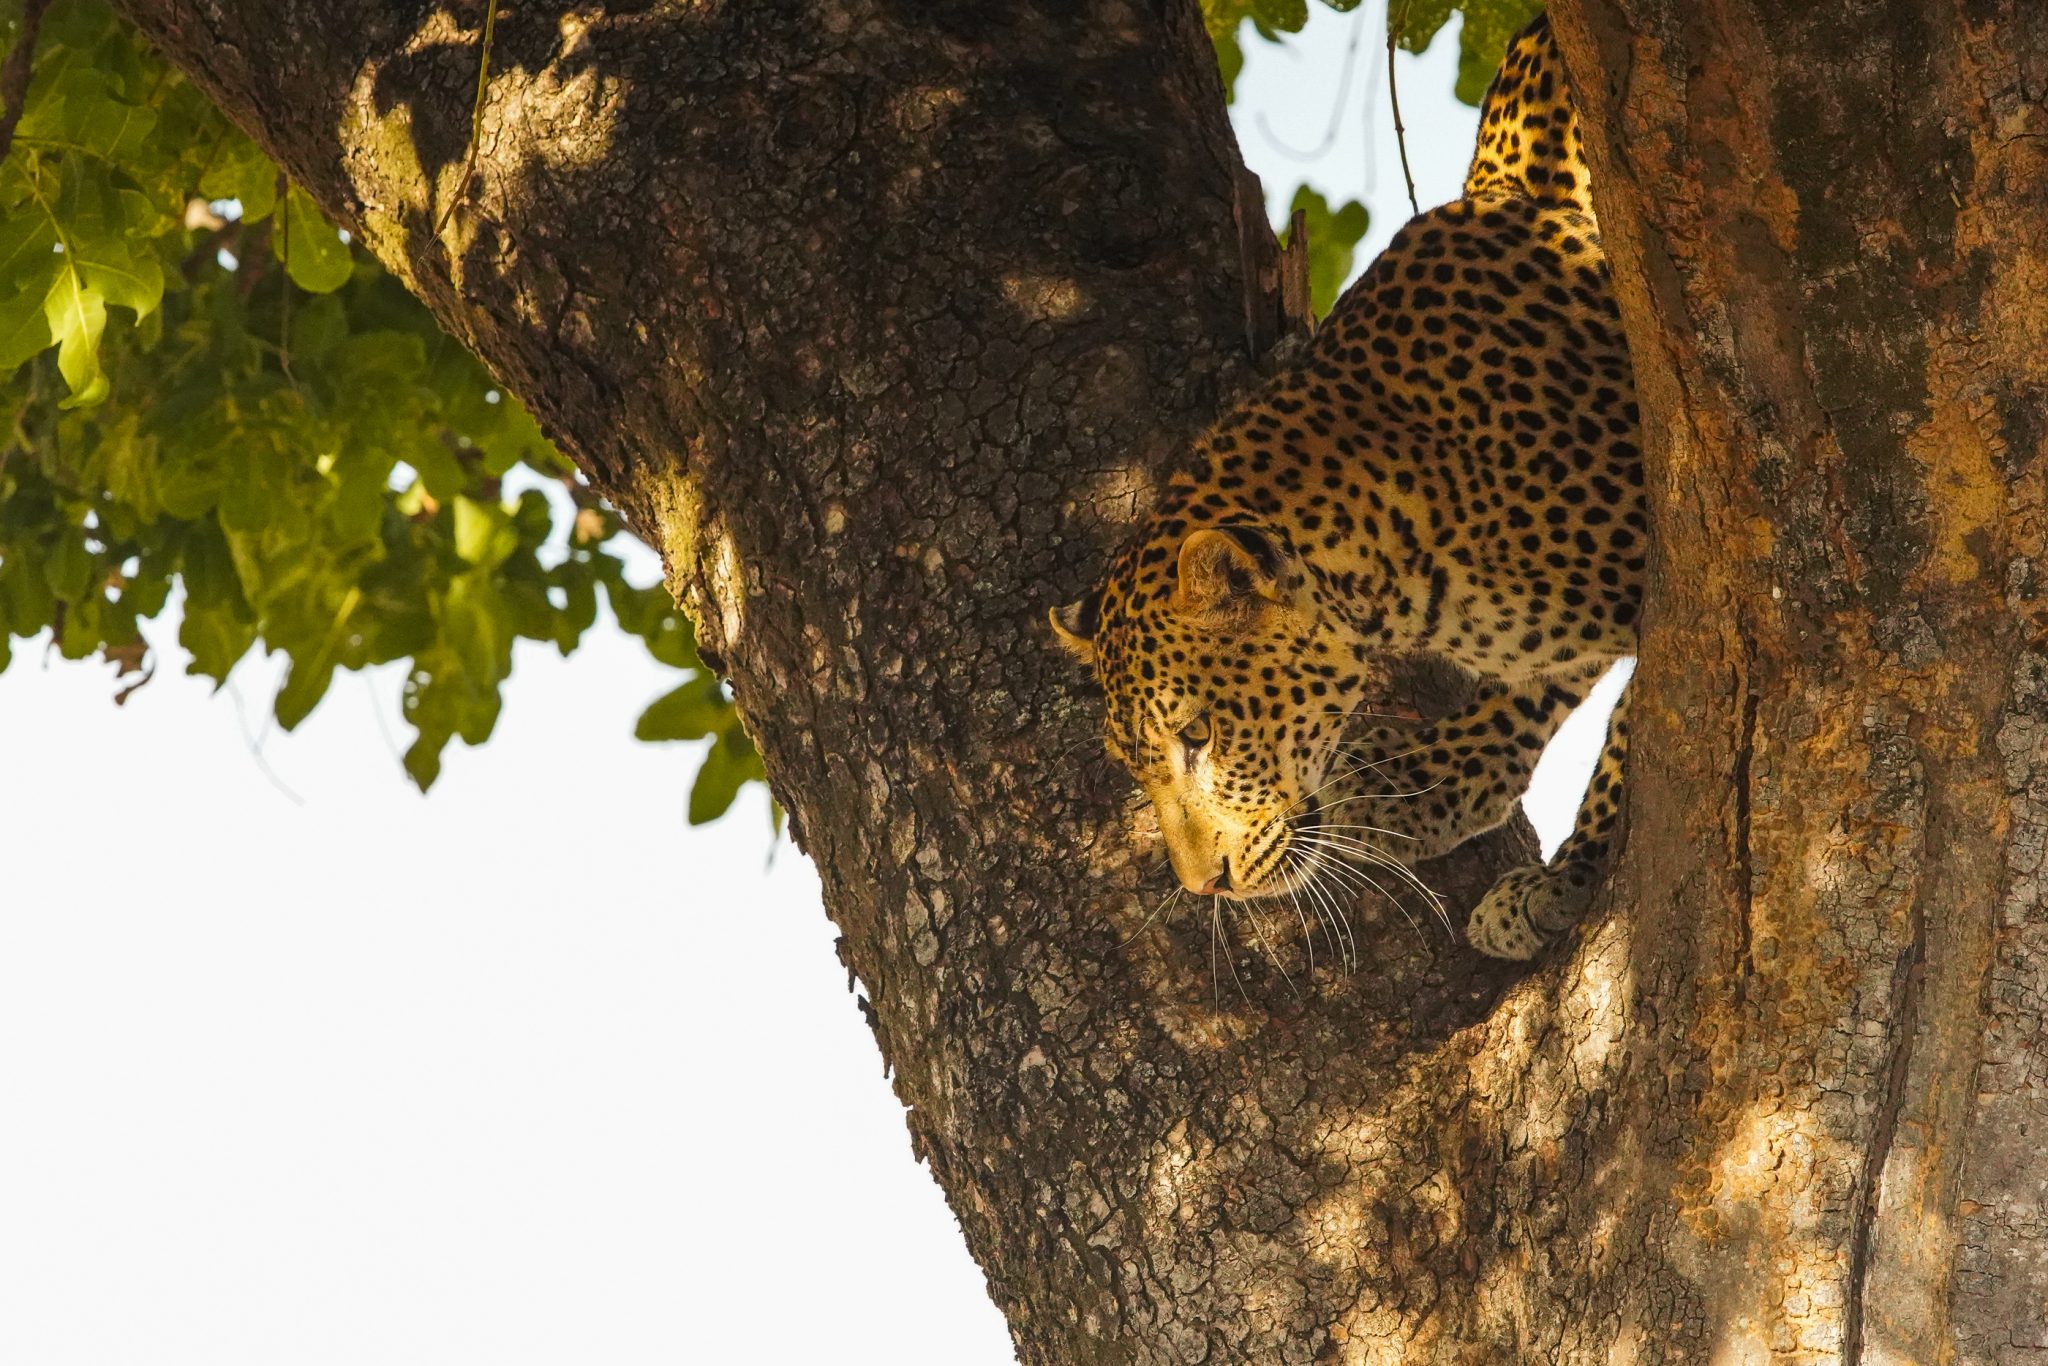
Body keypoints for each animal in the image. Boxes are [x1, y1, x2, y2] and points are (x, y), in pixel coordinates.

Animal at [1048, 13, 1641, 962]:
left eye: (1198, 735)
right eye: (1135, 763)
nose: (1203, 884)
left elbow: (1645, 734)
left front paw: (1571, 875)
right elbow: (1530, 688)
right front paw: (1425, 784)